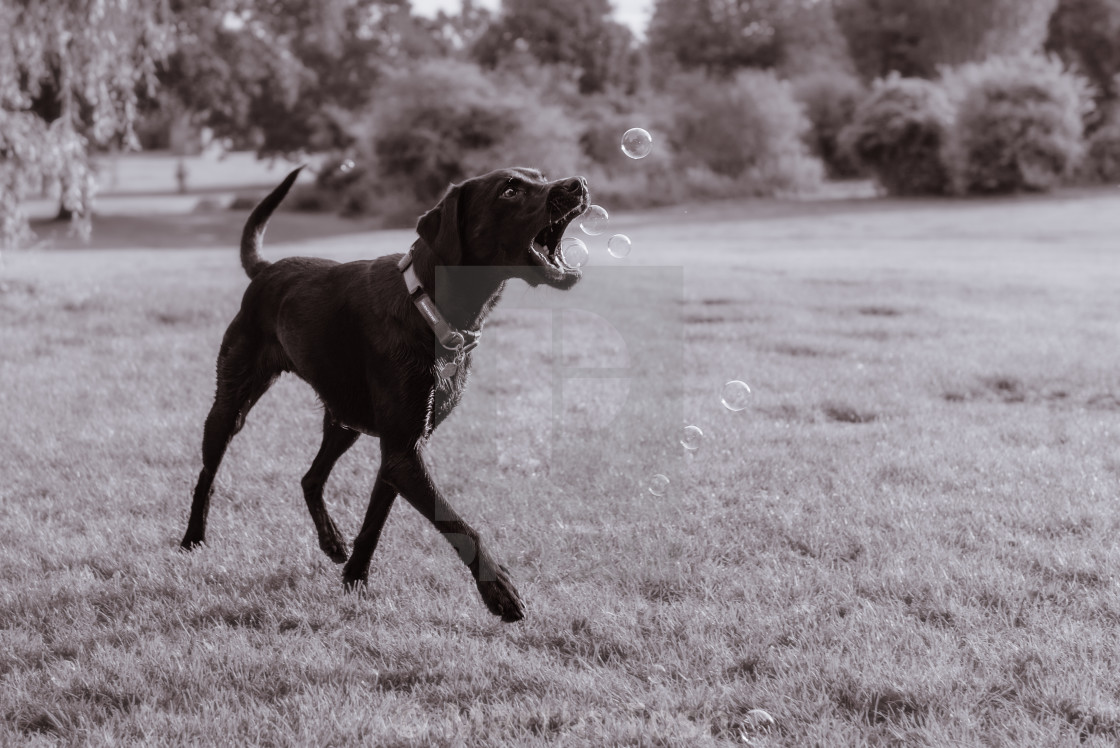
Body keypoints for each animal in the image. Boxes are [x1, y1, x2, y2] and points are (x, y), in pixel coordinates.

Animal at [179, 166, 591, 622]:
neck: (428, 307)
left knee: (310, 478)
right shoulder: (403, 454)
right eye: (510, 190)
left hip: (344, 421)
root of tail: (267, 270)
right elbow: (459, 524)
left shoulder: (401, 451)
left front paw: (355, 579)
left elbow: (374, 523)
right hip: (231, 404)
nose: (577, 184)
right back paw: (192, 539)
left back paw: (331, 541)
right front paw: (498, 589)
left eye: (541, 176)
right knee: (207, 476)